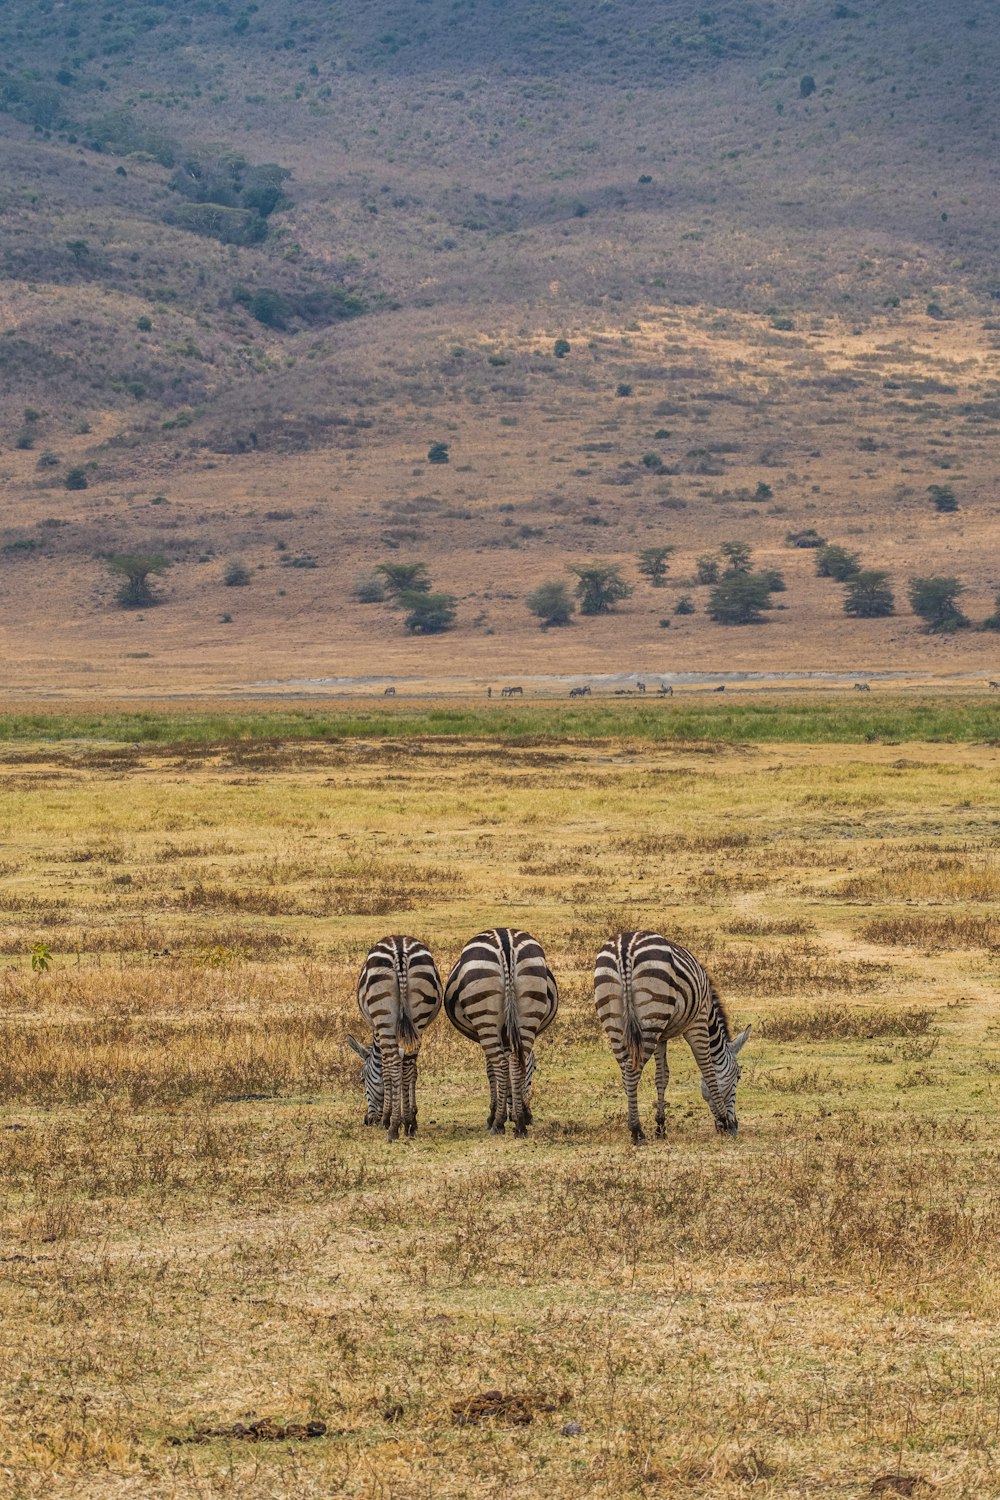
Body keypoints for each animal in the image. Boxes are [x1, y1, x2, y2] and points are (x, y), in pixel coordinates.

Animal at [352, 936, 446, 1134]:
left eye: (362, 1079)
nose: (368, 1120)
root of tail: (399, 949)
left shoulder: (379, 1031)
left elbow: (386, 1068)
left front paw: (389, 1117)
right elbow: (412, 1070)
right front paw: (411, 1114)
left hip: (384, 1017)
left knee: (394, 1064)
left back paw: (393, 1125)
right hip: (418, 1015)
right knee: (408, 1065)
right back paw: (409, 1123)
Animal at [443, 924, 554, 1134]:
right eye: (535, 1069)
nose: (528, 1114)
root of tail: (505, 940)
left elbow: (490, 1070)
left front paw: (494, 1114)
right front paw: (517, 1113)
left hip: (485, 1016)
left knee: (501, 1065)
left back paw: (499, 1122)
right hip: (529, 1008)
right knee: (515, 1063)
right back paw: (520, 1125)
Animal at [593, 930, 749, 1140]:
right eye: (738, 1077)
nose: (736, 1124)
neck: (709, 1010)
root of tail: (625, 947)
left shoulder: (662, 1037)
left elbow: (662, 1076)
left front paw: (660, 1126)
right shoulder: (698, 1023)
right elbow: (708, 1070)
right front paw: (725, 1120)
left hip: (615, 1021)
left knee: (625, 1072)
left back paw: (634, 1124)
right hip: (651, 1016)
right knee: (632, 1071)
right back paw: (637, 1131)